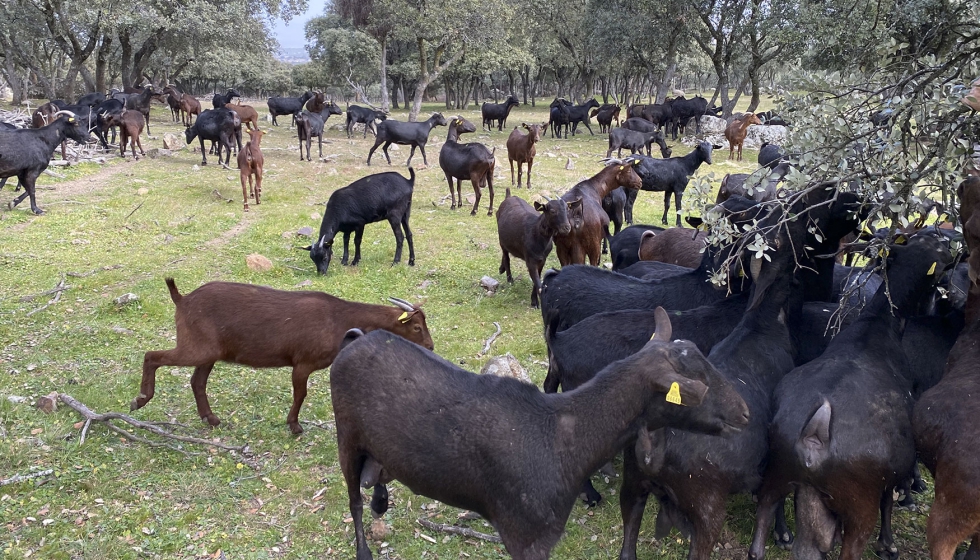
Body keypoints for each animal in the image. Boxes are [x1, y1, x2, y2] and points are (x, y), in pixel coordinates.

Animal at [131, 278, 432, 436]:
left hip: (209, 352)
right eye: (417, 327)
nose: (430, 346)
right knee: (152, 355)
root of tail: (181, 300)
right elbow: (301, 394)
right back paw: (141, 399)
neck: (339, 319)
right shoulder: (303, 363)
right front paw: (295, 425)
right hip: (197, 346)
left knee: (197, 382)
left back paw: (211, 419)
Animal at [332, 310, 752, 560]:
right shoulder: (525, 534)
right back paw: (364, 545)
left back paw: (380, 496)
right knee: (353, 500)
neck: (565, 440)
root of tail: (355, 339)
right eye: (697, 383)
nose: (745, 412)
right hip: (346, 435)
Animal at [748, 234, 952, 560]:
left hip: (777, 474)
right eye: (935, 249)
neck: (877, 326)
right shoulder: (892, 470)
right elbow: (888, 500)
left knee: (762, 533)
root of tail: (816, 433)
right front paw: (888, 543)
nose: (950, 250)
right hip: (858, 503)